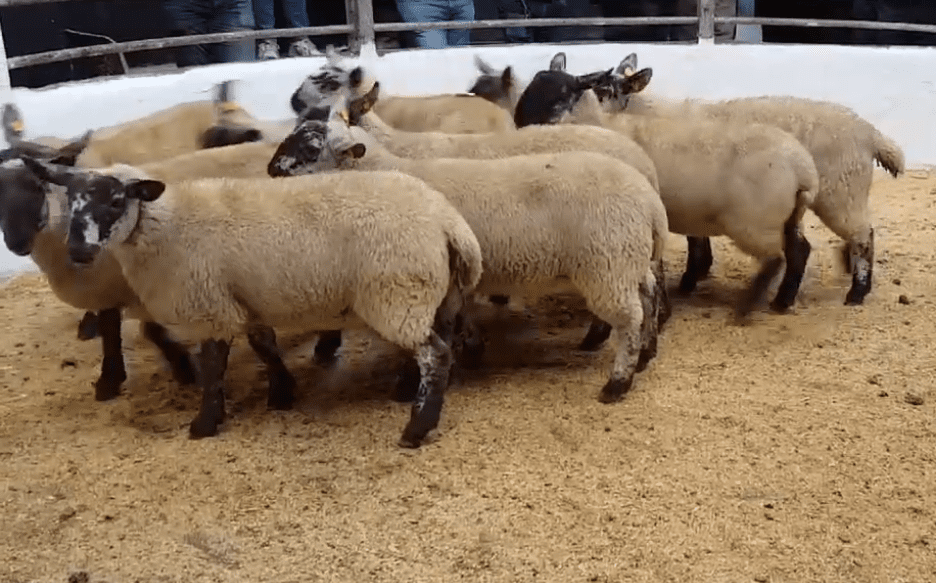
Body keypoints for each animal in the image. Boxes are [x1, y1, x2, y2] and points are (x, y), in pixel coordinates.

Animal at [22, 157, 484, 448]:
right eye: (71, 202)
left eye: (117, 200)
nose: (78, 251)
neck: (164, 225)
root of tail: (449, 223)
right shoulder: (243, 299)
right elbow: (264, 345)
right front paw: (282, 392)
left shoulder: (209, 304)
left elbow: (213, 367)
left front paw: (205, 423)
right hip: (431, 295)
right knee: (437, 344)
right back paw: (408, 393)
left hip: (397, 292)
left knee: (435, 355)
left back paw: (417, 428)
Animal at [268, 114, 672, 404]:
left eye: (312, 147)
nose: (272, 170)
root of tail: (649, 198)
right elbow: (461, 317)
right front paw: (474, 350)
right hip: (625, 260)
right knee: (648, 295)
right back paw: (646, 352)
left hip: (607, 264)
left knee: (629, 318)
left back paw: (618, 382)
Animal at [514, 68, 820, 320]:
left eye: (561, 96)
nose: (522, 125)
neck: (601, 125)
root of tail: (804, 169)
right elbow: (696, 245)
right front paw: (690, 280)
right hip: (788, 217)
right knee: (799, 250)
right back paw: (782, 301)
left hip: (753, 222)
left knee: (775, 258)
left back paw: (746, 307)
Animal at [578, 52, 906, 306]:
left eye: (604, 90)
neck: (649, 112)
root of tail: (869, 133)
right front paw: (696, 275)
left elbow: (696, 240)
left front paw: (690, 279)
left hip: (842, 191)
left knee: (863, 235)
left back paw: (857, 292)